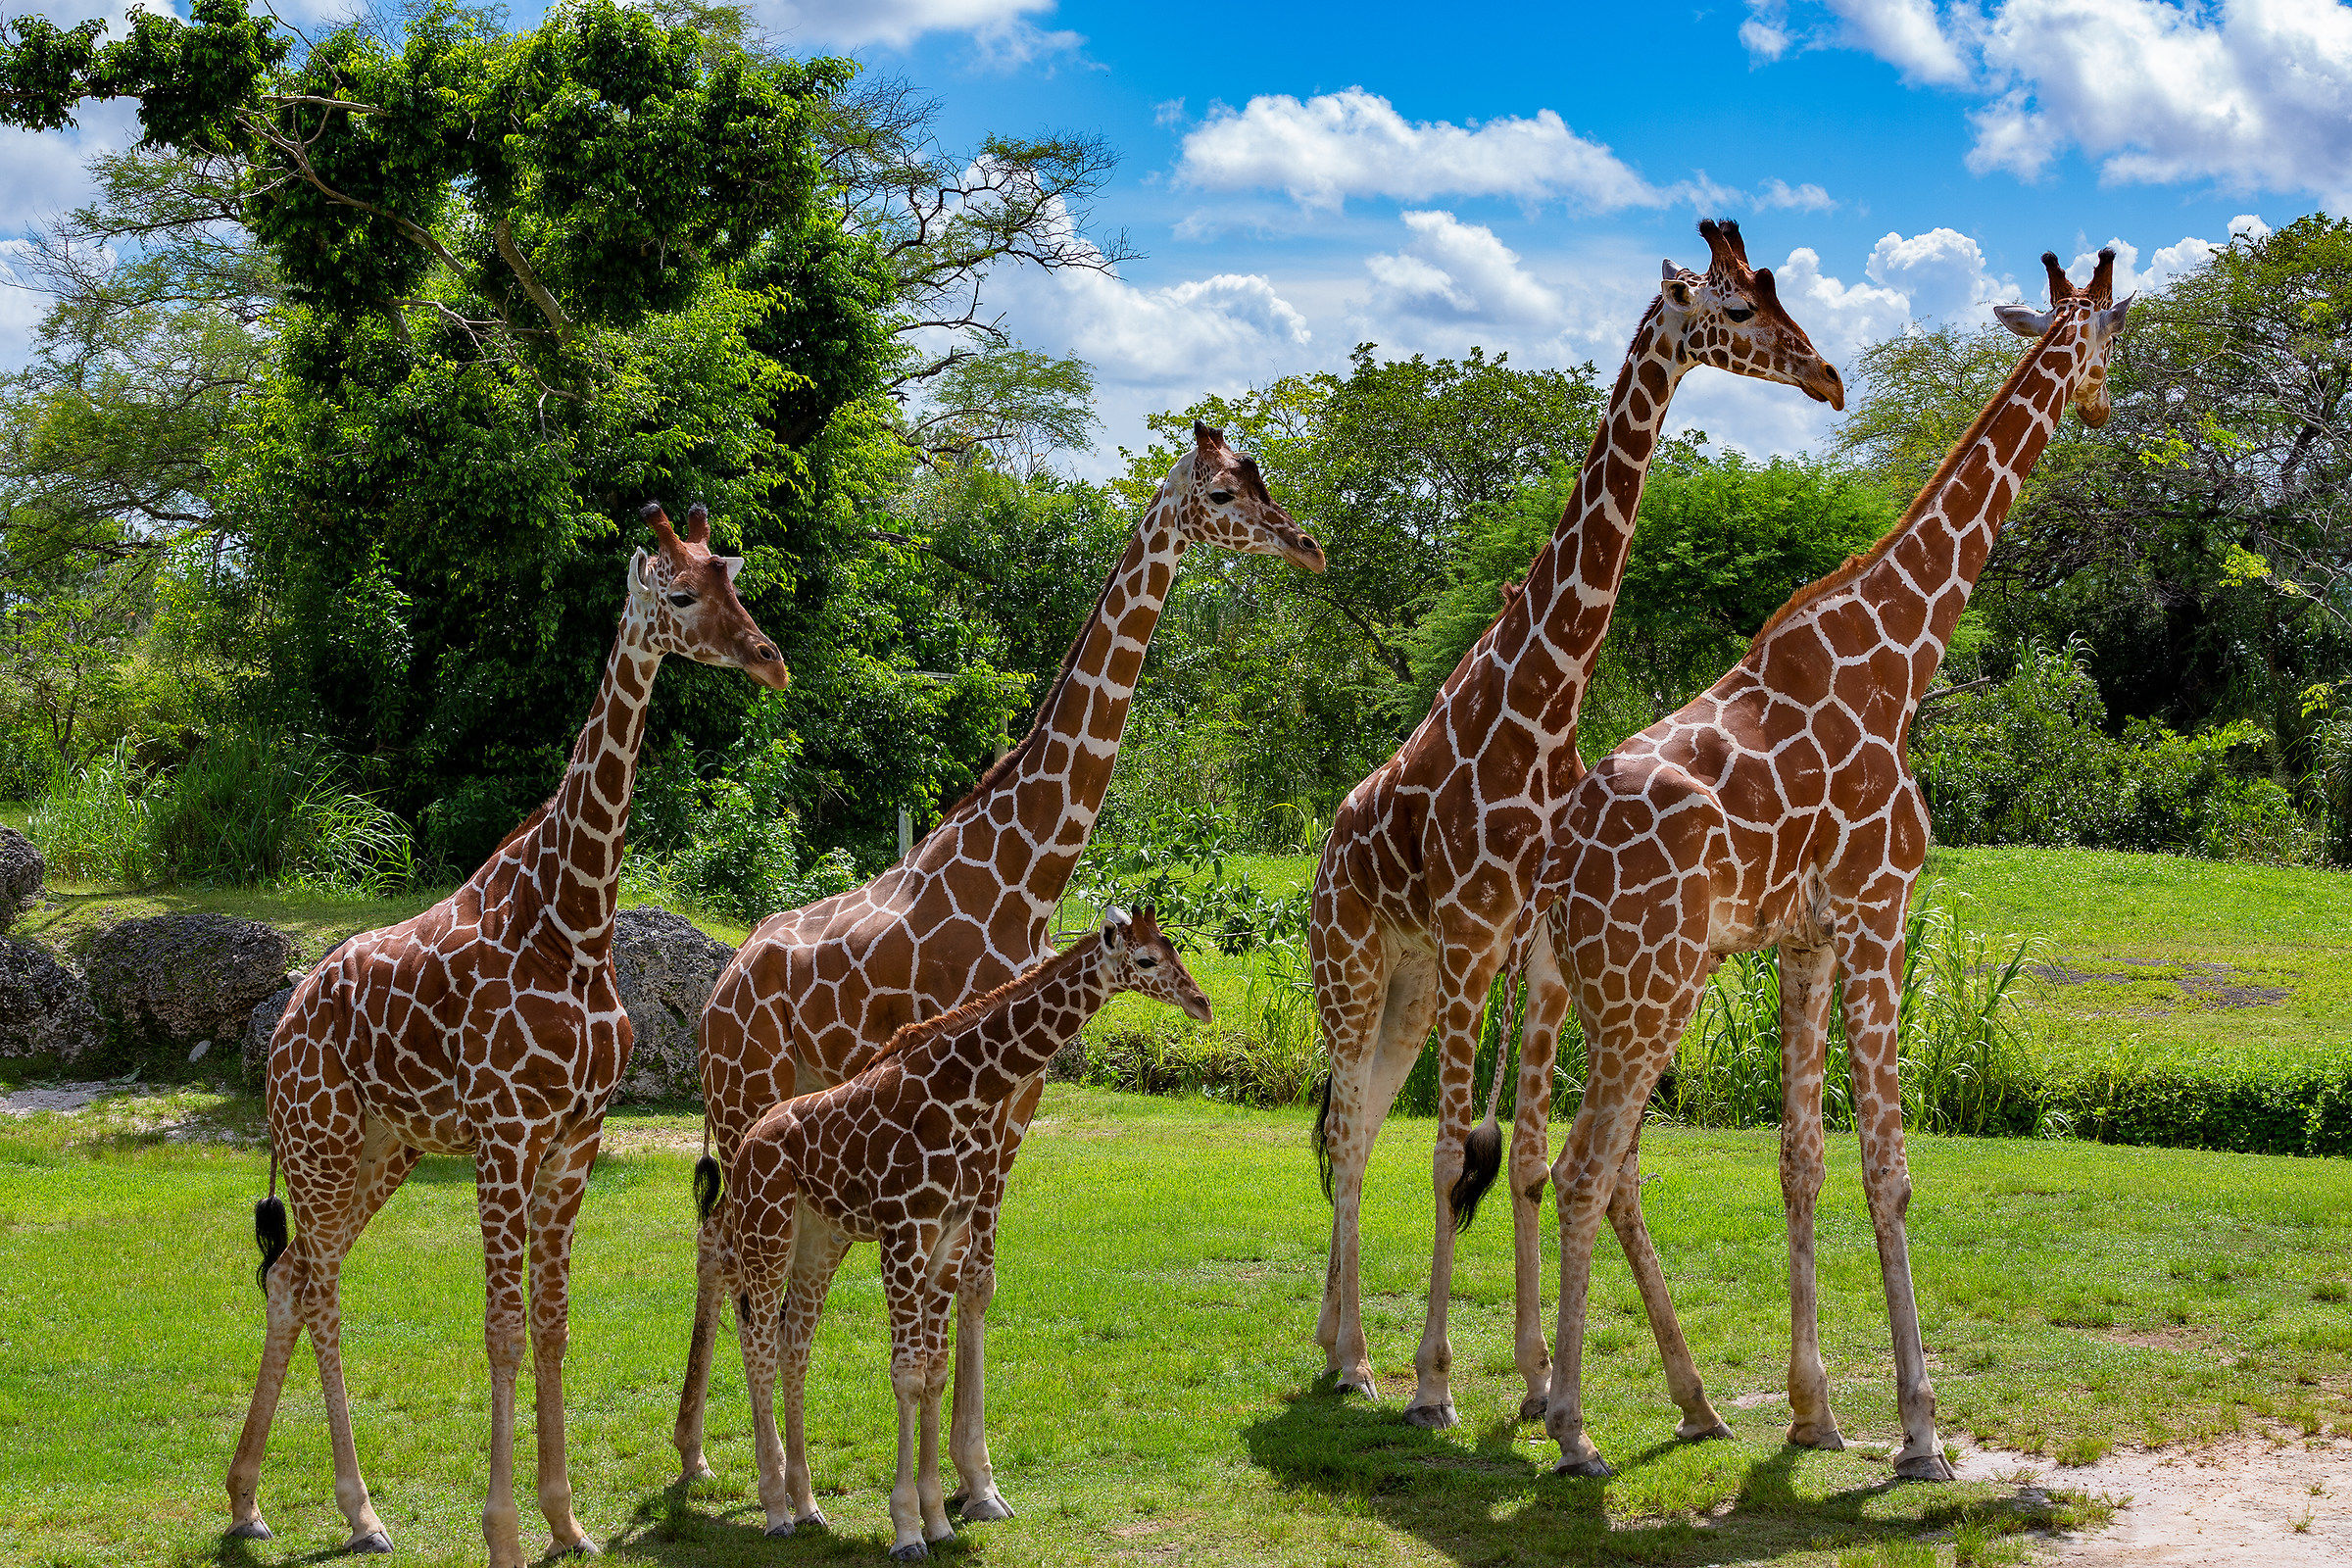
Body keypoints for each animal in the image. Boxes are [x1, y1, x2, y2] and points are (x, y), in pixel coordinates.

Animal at [225, 504, 789, 1567]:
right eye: (680, 593)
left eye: (734, 582)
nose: (769, 660)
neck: (573, 920)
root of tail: (279, 1029)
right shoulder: (502, 1135)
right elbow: (501, 1328)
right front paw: (504, 1534)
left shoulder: (572, 1141)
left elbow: (554, 1324)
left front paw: (566, 1520)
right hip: (322, 1144)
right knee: (315, 1287)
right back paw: (356, 1509)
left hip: (383, 1147)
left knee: (294, 1277)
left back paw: (257, 1502)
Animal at [714, 907, 1208, 1560]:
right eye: (1148, 959)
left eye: (1176, 950)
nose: (1202, 1003)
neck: (961, 1094)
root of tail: (749, 1141)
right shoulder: (904, 1231)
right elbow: (906, 1375)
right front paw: (905, 1529)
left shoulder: (946, 1235)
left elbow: (935, 1373)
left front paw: (939, 1520)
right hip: (765, 1231)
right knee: (759, 1346)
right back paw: (774, 1510)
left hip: (820, 1240)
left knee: (795, 1346)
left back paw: (808, 1505)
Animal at [1309, 218, 1845, 1429]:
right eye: (1737, 309)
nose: (1829, 378)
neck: (1540, 708)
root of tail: (1322, 853)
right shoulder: (1473, 936)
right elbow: (1450, 1155)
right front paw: (1438, 1385)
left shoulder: (1521, 949)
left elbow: (1527, 1153)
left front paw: (1532, 1375)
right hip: (1352, 966)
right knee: (1350, 1133)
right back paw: (1355, 1359)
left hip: (1411, 985)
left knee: (1360, 1122)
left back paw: (1342, 1351)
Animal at [1517, 250, 2132, 1479]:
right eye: (2108, 340)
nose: (2099, 407)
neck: (1904, 651)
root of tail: (1554, 876)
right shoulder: (1881, 908)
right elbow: (1887, 1168)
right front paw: (1921, 1432)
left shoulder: (1801, 937)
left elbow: (1800, 1156)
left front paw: (1813, 1413)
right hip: (1653, 988)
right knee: (1583, 1168)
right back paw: (1572, 1426)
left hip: (1611, 994)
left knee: (1600, 1165)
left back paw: (1680, 1404)